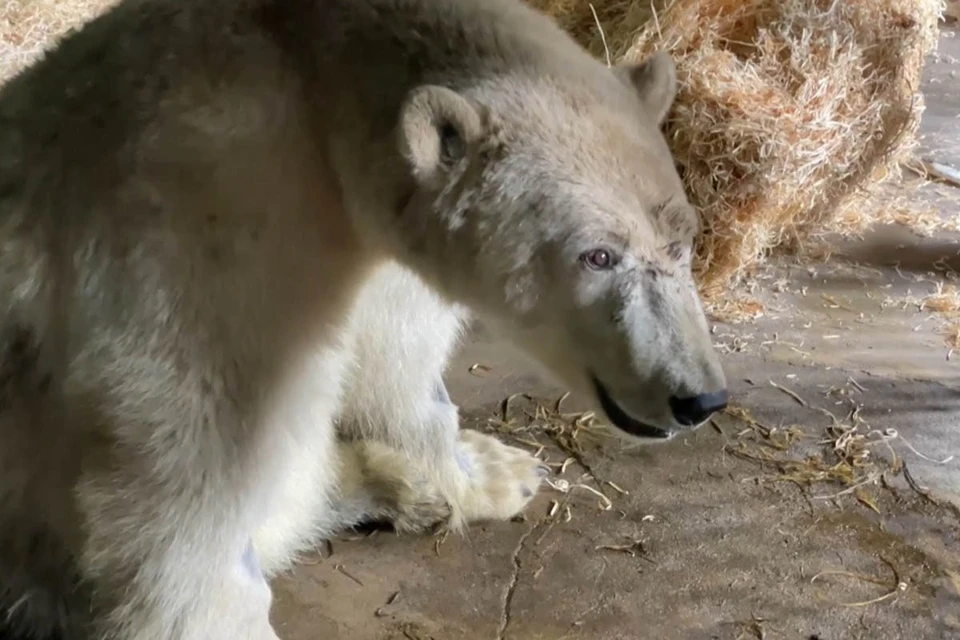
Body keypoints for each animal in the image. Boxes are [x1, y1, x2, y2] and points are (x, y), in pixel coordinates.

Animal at [0, 0, 724, 636]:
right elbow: (184, 486)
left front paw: (494, 470)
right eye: (597, 254)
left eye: (683, 242)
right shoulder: (201, 236)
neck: (309, 86)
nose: (699, 397)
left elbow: (394, 364)